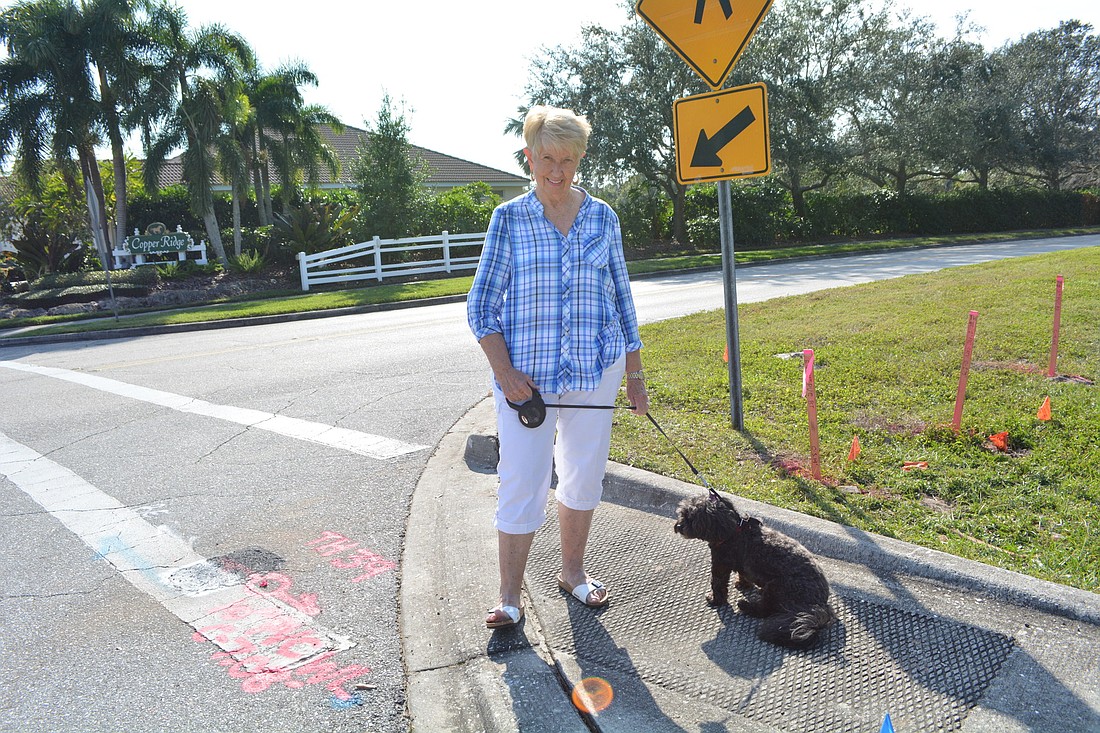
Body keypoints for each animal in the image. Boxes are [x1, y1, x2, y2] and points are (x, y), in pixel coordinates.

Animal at [673, 490, 836, 647]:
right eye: (682, 513)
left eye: (691, 517)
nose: (679, 526)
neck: (732, 530)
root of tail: (819, 605)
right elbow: (743, 574)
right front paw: (743, 584)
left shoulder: (720, 564)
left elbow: (717, 583)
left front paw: (715, 599)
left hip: (777, 587)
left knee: (766, 609)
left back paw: (746, 605)